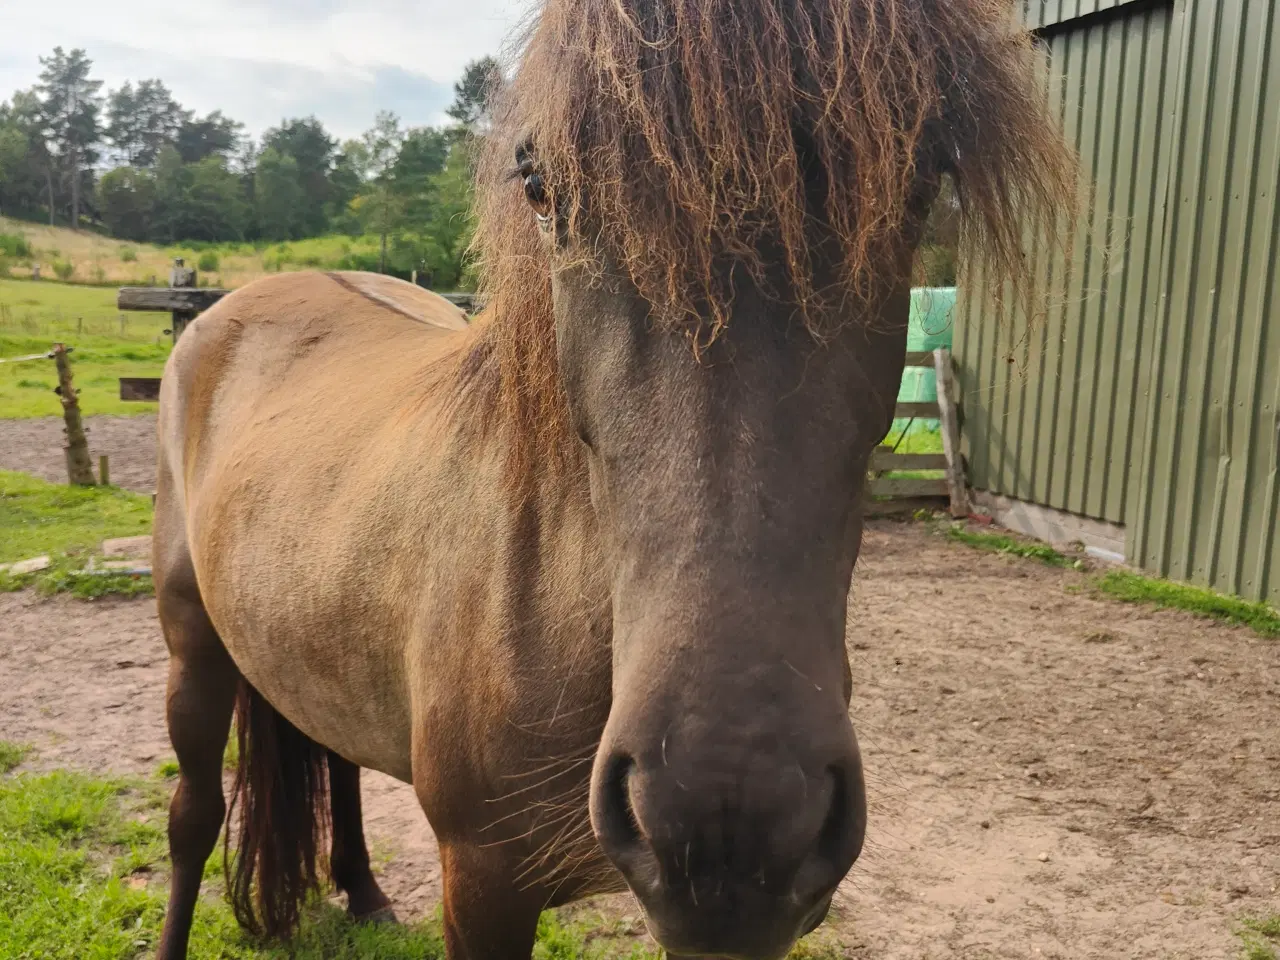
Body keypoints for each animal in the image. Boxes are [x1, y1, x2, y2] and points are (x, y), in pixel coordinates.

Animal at [147, 0, 1070, 957]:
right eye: (539, 186)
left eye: (920, 185)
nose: (729, 816)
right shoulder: (480, 885)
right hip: (192, 643)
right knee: (193, 818)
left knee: (333, 754)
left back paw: (365, 891)